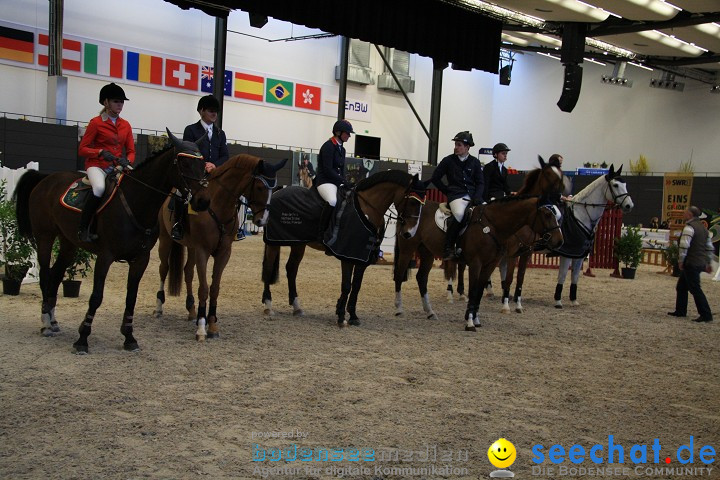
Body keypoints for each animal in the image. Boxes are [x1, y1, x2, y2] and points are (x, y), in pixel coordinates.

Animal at [13, 129, 211, 354]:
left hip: (68, 243)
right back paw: (46, 323)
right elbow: (96, 296)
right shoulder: (105, 256)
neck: (137, 203)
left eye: (203, 164)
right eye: (184, 163)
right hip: (45, 237)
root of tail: (46, 178)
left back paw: (53, 322)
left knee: (55, 275)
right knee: (46, 276)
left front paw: (129, 337)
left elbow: (131, 297)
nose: (203, 201)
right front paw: (82, 339)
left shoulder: (140, 259)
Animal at [155, 156, 286, 340]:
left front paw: (211, 325)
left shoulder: (224, 253)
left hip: (191, 248)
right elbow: (203, 288)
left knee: (188, 272)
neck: (218, 207)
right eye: (260, 187)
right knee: (164, 269)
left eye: (273, 189)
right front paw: (201, 327)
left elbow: (214, 288)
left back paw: (192, 311)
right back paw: (159, 307)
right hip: (166, 240)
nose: (262, 221)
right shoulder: (202, 251)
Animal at [260, 171, 424, 328]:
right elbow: (346, 286)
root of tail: (277, 192)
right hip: (274, 242)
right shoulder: (347, 255)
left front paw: (353, 316)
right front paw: (340, 317)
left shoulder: (362, 258)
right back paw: (268, 306)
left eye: (422, 204)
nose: (409, 233)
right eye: (412, 201)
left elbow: (356, 286)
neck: (367, 210)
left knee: (291, 269)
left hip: (298, 244)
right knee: (268, 268)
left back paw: (297, 307)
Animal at [452, 193, 564, 332]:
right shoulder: (503, 257)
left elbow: (518, 278)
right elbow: (505, 280)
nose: (559, 241)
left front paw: (517, 305)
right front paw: (504, 307)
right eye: (547, 214)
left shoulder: (522, 254)